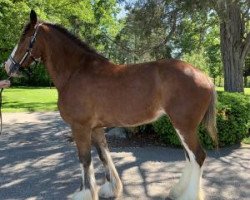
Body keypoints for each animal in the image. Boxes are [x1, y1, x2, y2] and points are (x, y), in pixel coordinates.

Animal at [4, 10, 218, 199]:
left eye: (24, 38)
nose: (8, 66)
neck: (76, 72)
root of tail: (205, 77)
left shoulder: (80, 127)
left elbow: (85, 159)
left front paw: (84, 193)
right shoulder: (96, 128)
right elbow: (103, 155)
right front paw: (110, 188)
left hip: (184, 126)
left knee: (198, 156)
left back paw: (188, 195)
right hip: (181, 127)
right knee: (189, 157)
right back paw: (177, 192)